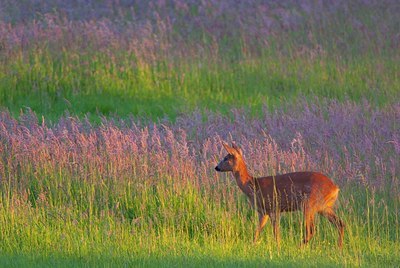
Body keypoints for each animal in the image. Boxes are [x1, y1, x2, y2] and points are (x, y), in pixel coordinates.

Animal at [216, 141, 344, 248]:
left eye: (226, 158)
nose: (216, 167)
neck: (253, 186)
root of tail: (335, 188)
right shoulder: (264, 211)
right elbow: (258, 230)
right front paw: (252, 245)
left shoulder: (272, 207)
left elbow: (275, 231)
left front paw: (278, 247)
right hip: (324, 207)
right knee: (340, 224)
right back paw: (339, 248)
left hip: (309, 204)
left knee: (311, 230)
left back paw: (298, 247)